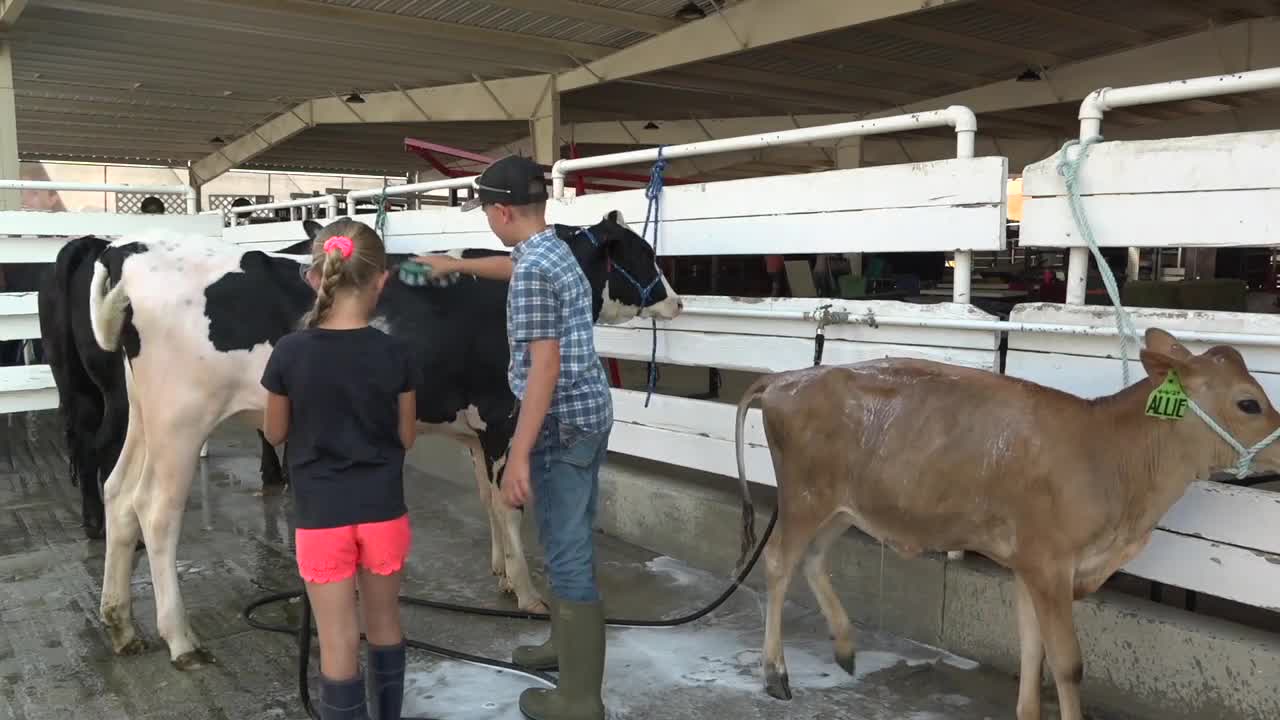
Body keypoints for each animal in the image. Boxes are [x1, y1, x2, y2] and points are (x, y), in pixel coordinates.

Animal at [86, 210, 686, 666]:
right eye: (644, 253)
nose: (677, 301)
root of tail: (130, 250)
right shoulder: (502, 417)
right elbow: (511, 507)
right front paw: (527, 592)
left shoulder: (474, 431)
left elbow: (489, 501)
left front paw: (499, 572)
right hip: (182, 418)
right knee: (154, 511)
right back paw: (180, 640)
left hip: (146, 417)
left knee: (117, 494)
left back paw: (119, 624)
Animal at [732, 326, 1280, 717]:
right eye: (1248, 402)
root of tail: (785, 379)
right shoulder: (1049, 563)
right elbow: (1067, 663)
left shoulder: (1029, 566)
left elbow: (1032, 650)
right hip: (804, 498)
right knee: (779, 562)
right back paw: (775, 673)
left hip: (842, 507)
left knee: (813, 559)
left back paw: (845, 646)